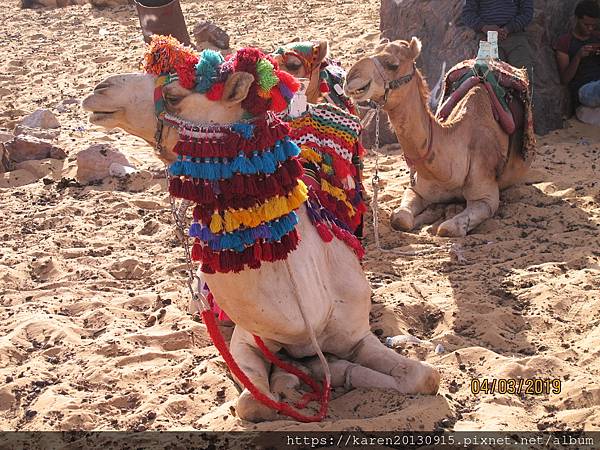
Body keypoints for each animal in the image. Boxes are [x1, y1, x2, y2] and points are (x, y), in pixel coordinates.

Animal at [82, 36, 438, 422]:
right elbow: (253, 402)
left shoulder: (358, 333)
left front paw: (329, 369)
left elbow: (425, 376)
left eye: (175, 94)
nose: (100, 90)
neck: (307, 305)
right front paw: (296, 375)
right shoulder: (247, 339)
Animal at [342, 38, 536, 237]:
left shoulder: (486, 197)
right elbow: (399, 218)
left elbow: (447, 228)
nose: (350, 77)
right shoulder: (416, 188)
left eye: (392, 64)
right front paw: (429, 214)